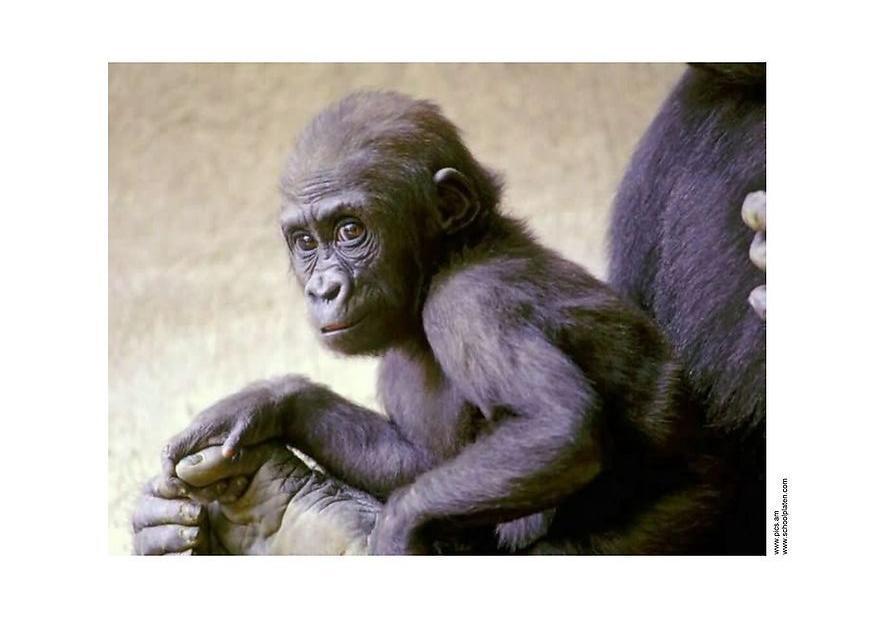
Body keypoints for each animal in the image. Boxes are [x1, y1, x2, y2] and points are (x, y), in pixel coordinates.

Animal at [133, 90, 724, 555]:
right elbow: (414, 463)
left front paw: (395, 531)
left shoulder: (469, 303)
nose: (323, 289)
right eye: (305, 242)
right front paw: (269, 403)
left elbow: (557, 425)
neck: (444, 261)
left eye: (350, 230)